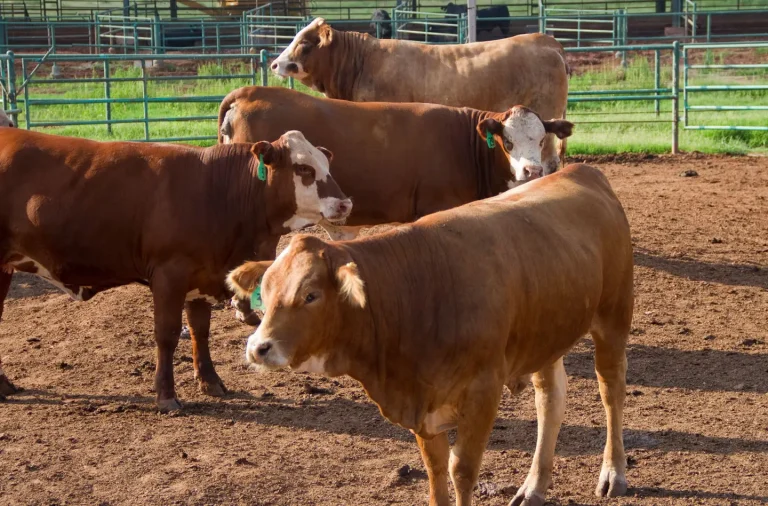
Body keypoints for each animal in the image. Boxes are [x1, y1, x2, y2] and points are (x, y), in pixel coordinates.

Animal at [0, 129, 351, 409]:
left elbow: (200, 331)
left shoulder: (203, 277)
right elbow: (167, 334)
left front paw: (210, 382)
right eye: (303, 168)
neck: (217, 191)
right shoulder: (169, 275)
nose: (345, 203)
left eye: (327, 164)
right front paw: (166, 395)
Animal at [227, 163, 633, 506]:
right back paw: (533, 487)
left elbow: (461, 470)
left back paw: (613, 473)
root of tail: (581, 170)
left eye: (311, 295)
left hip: (613, 319)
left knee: (610, 392)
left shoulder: (483, 391)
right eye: (266, 290)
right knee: (550, 402)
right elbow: (435, 469)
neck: (417, 289)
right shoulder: (422, 402)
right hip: (546, 335)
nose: (258, 348)